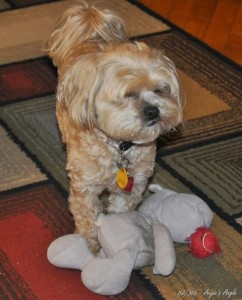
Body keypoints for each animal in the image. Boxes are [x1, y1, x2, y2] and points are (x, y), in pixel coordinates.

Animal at [46, 0, 182, 253]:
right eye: (128, 94)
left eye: (161, 90)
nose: (153, 111)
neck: (119, 146)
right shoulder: (85, 188)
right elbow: (87, 218)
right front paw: (90, 246)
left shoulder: (134, 183)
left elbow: (121, 209)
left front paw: (121, 231)